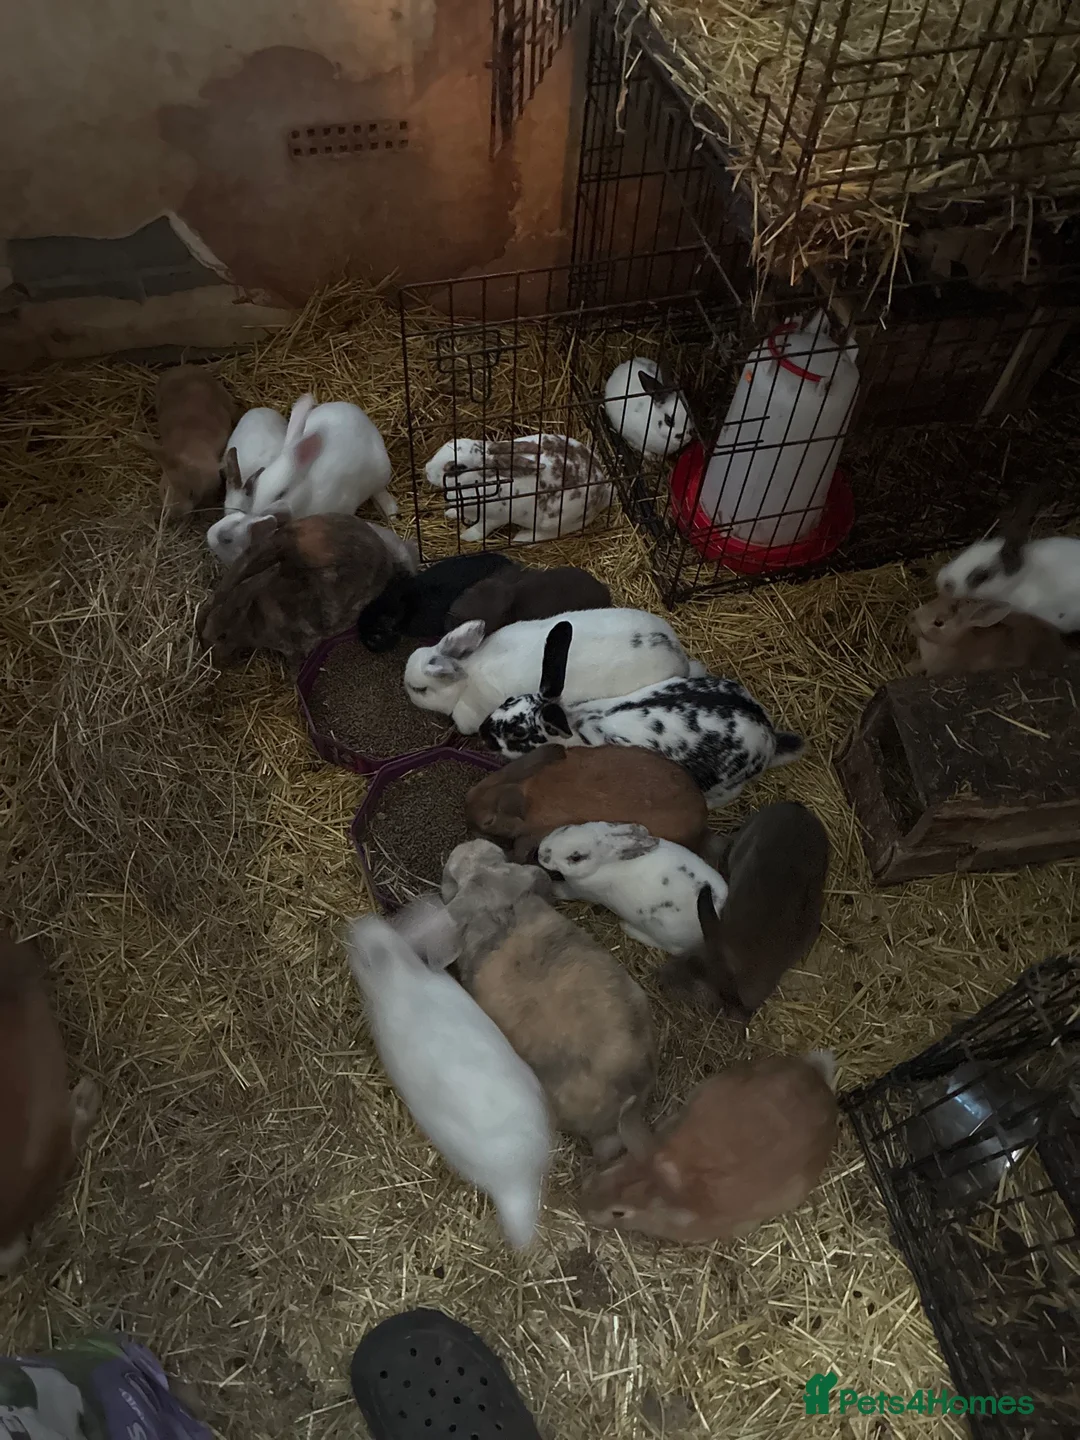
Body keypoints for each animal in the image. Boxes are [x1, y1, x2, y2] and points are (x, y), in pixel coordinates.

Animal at [206, 394, 398, 564]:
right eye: (256, 488)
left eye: (281, 493)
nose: (257, 513)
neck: (307, 494)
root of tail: (358, 412)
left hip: (381, 471)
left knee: (379, 490)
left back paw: (390, 510)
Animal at [430, 434, 614, 543]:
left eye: (456, 468)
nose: (427, 470)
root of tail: (603, 492)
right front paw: (451, 513)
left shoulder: (495, 518)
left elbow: (481, 529)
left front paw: (466, 536)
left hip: (558, 520)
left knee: (554, 532)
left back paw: (522, 538)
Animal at [480, 625, 802, 806]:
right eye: (508, 700)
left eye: (519, 732)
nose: (484, 732)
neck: (574, 728)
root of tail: (769, 736)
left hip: (726, 784)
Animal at [537, 822, 728, 954]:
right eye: (565, 828)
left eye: (576, 857)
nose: (541, 854)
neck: (605, 864)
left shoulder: (581, 891)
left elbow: (566, 891)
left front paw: (554, 887)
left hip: (664, 930)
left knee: (673, 949)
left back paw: (627, 927)